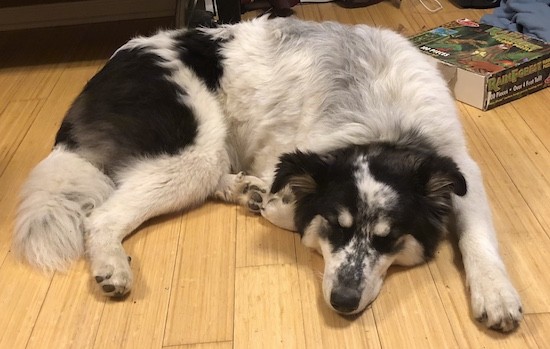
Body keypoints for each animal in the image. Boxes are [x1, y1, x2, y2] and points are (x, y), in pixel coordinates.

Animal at [11, 16, 520, 332]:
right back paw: (113, 265)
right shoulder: (294, 159)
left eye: (388, 240)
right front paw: (277, 203)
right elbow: (294, 208)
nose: (342, 302)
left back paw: (244, 189)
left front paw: (496, 294)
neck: (385, 126)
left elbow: (477, 236)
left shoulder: (461, 168)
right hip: (193, 150)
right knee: (102, 216)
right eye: (336, 228)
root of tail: (104, 72)